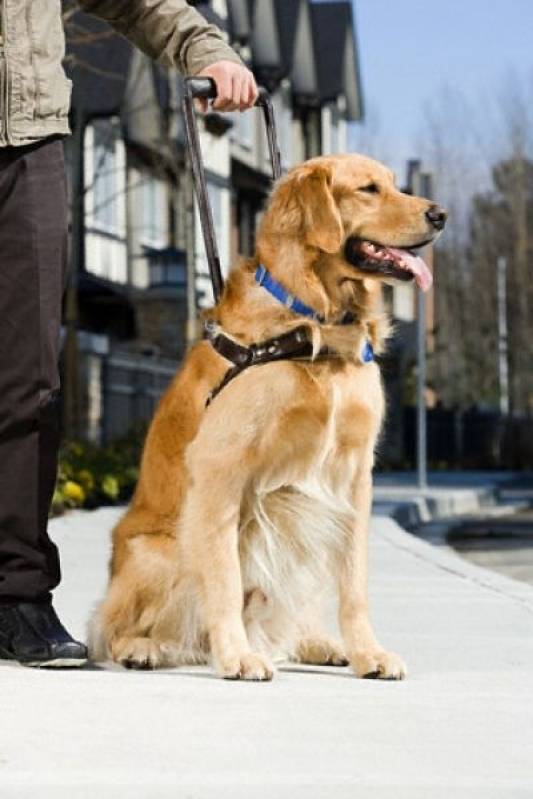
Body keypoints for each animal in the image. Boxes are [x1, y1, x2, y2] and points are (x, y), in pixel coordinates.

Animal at [88, 153, 444, 680]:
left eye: (397, 185)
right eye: (368, 189)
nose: (440, 215)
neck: (315, 322)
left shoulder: (355, 475)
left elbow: (354, 585)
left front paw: (368, 652)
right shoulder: (219, 468)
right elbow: (224, 580)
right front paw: (236, 656)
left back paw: (315, 642)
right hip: (157, 550)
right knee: (113, 632)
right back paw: (146, 648)